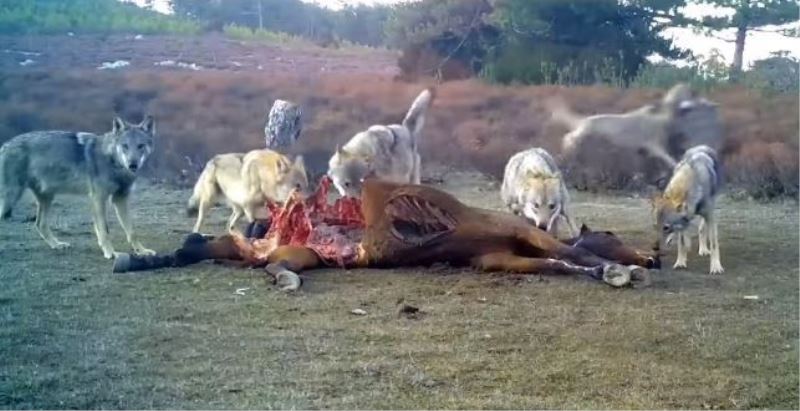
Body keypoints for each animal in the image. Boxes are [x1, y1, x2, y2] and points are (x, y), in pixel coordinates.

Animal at [0, 115, 158, 258]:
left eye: (140, 146)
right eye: (125, 146)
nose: (133, 164)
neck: (114, 163)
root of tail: (5, 145)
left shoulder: (120, 199)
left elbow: (132, 231)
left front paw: (141, 251)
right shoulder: (98, 198)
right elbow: (104, 230)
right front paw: (111, 253)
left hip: (47, 197)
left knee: (40, 224)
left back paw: (57, 245)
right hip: (12, 197)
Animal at [552, 83, 700, 169]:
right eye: (692, 92)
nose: (699, 100)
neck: (664, 114)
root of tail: (583, 119)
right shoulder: (654, 145)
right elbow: (670, 160)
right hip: (585, 133)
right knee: (569, 137)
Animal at [648, 145, 724, 274]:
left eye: (666, 228)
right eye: (655, 226)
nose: (655, 248)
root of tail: (702, 146)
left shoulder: (709, 215)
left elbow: (714, 244)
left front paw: (716, 267)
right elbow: (682, 242)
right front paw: (680, 263)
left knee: (701, 229)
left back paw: (703, 250)